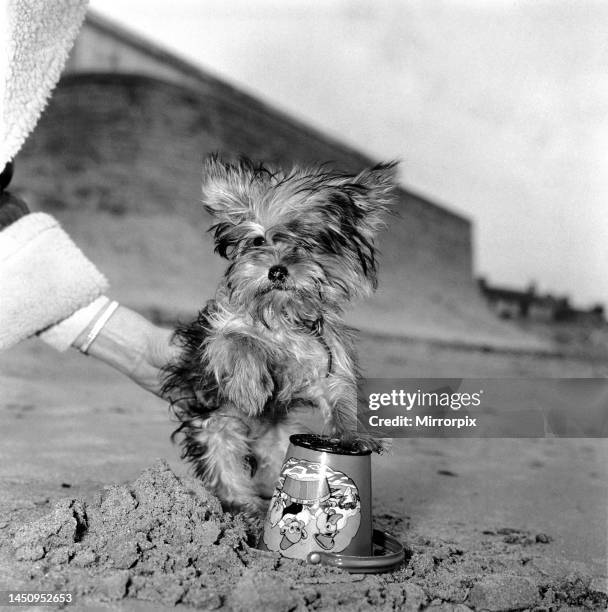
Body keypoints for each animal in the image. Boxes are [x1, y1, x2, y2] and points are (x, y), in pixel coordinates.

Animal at [162, 155, 396, 512]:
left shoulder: (326, 361)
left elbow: (341, 397)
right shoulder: (217, 334)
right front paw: (250, 388)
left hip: (279, 442)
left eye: (308, 245)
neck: (281, 313)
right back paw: (245, 505)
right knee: (223, 461)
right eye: (259, 240)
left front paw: (353, 435)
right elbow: (238, 339)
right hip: (217, 425)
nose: (276, 270)